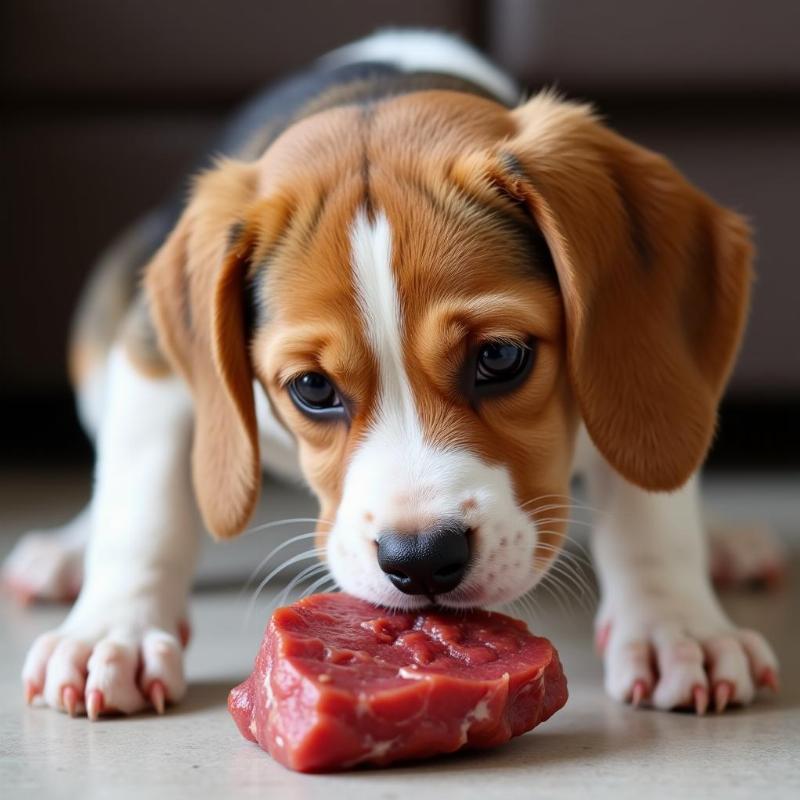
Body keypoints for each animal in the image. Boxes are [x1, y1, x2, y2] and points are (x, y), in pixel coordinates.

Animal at [6, 31, 780, 720]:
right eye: (312, 389)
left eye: (500, 357)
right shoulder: (152, 359)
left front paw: (677, 627)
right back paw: (67, 552)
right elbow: (143, 502)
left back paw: (724, 544)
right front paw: (114, 631)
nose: (423, 560)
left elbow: (651, 503)